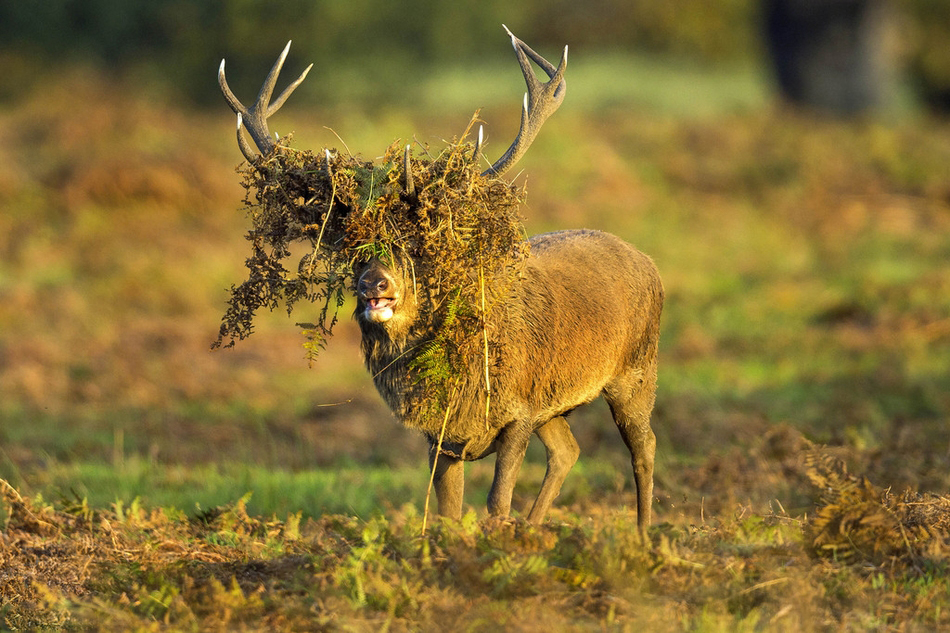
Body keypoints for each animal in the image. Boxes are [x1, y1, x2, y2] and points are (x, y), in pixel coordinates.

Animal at [217, 27, 664, 538]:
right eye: (351, 246)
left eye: (416, 245)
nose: (375, 286)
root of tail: (647, 261)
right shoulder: (443, 434)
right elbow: (449, 510)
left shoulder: (520, 407)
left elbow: (496, 501)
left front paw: (500, 541)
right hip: (557, 403)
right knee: (568, 450)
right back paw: (536, 529)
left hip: (636, 369)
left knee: (644, 447)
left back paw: (645, 536)